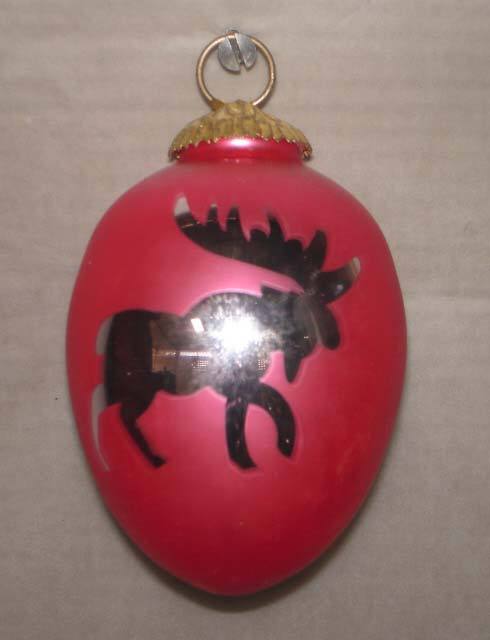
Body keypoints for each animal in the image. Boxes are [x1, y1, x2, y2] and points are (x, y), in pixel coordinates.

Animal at [95, 197, 359, 470]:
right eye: (295, 302)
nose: (327, 340)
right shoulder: (235, 387)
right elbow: (267, 411)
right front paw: (269, 452)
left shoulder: (238, 390)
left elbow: (259, 417)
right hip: (138, 386)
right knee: (123, 415)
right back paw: (155, 459)